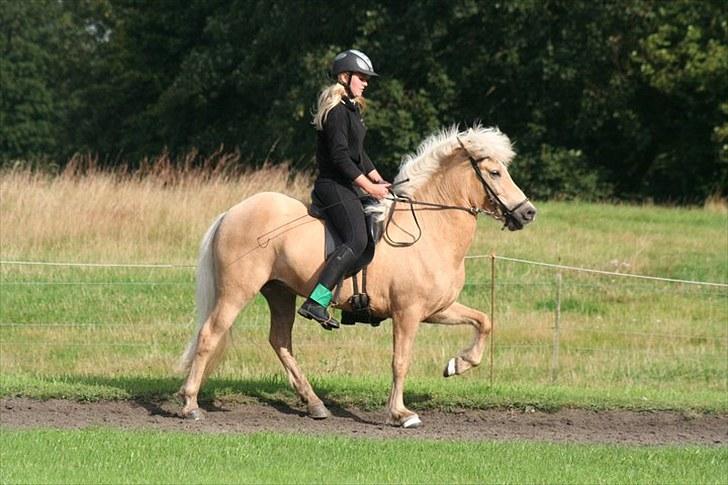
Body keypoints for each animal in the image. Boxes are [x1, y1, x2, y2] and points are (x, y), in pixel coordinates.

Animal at [179, 125, 536, 428]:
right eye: (495, 172)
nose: (528, 212)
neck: (430, 230)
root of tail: (231, 212)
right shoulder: (408, 313)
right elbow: (400, 361)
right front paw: (401, 413)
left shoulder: (437, 309)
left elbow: (484, 321)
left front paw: (457, 365)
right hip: (237, 292)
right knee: (209, 335)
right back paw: (190, 404)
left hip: (279, 292)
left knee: (280, 341)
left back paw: (314, 403)